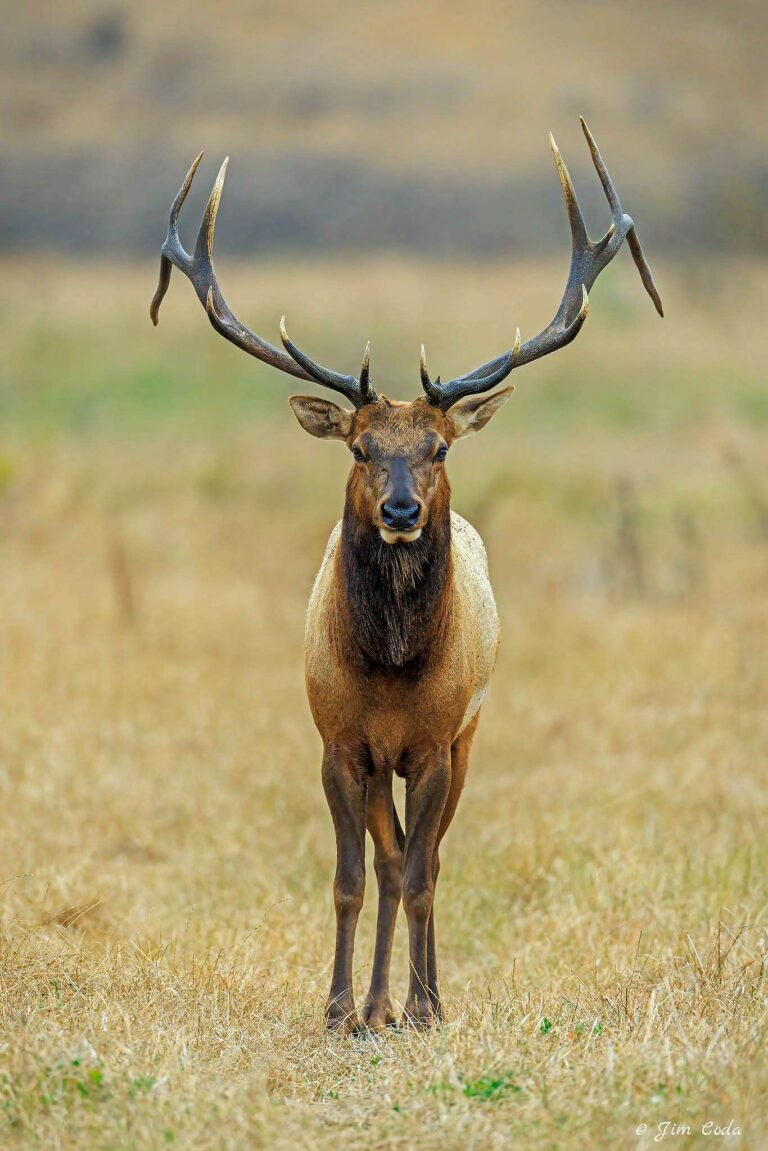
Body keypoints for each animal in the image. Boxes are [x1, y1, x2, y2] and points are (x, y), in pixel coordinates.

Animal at [150, 118, 663, 1032]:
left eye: (440, 447)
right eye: (360, 448)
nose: (399, 509)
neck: (389, 672)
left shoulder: (434, 741)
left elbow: (423, 873)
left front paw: (424, 1005)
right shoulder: (338, 742)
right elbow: (354, 878)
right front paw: (339, 1006)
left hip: (470, 735)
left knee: (429, 861)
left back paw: (414, 998)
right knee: (387, 863)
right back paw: (376, 1003)